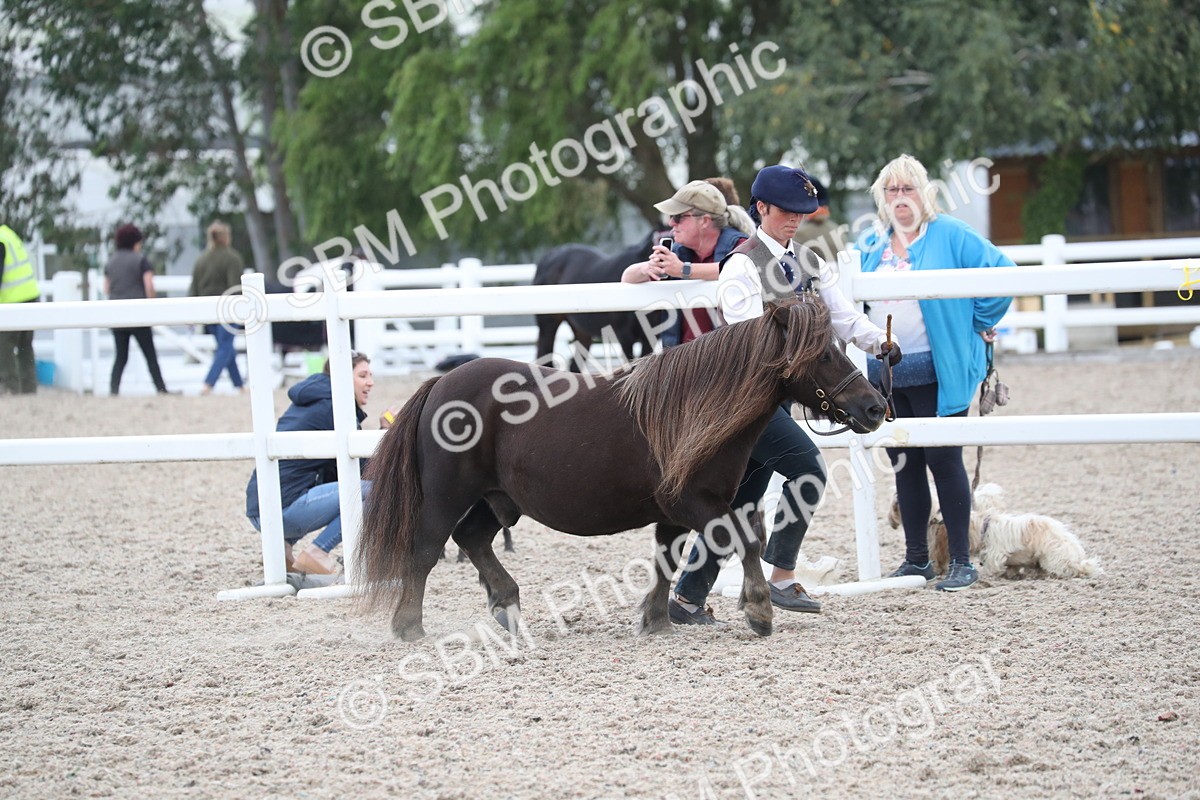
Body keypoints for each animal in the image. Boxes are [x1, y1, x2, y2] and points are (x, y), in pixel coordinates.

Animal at [358, 298, 887, 641]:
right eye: (823, 354)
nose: (875, 407)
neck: (692, 408)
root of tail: (441, 384)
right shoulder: (698, 504)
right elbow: (745, 540)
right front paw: (759, 610)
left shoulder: (675, 514)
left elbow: (667, 560)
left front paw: (655, 620)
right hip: (448, 495)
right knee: (426, 551)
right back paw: (409, 627)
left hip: (499, 500)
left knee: (472, 539)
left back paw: (507, 606)